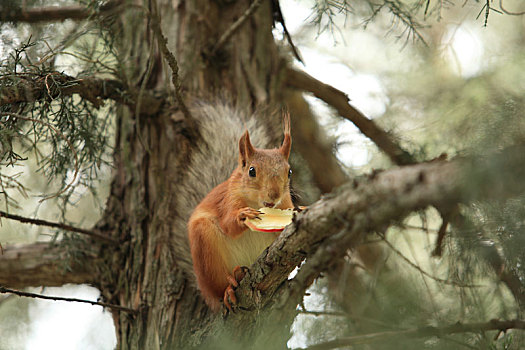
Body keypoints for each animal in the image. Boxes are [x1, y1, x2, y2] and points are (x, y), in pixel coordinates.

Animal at [187, 115, 294, 312]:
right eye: (252, 171)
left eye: (289, 172)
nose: (274, 194)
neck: (256, 202)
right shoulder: (228, 200)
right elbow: (228, 225)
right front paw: (243, 216)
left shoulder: (285, 203)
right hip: (206, 250)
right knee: (220, 285)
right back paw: (231, 284)